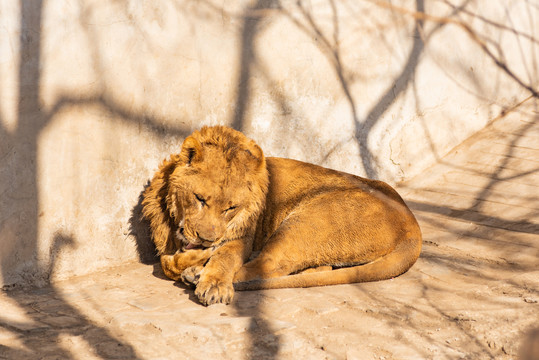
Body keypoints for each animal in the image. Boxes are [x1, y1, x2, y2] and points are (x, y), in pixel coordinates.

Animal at [142, 125, 422, 306]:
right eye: (199, 199)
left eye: (230, 209)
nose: (206, 239)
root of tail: (412, 224)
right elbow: (166, 263)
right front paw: (195, 258)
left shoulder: (242, 238)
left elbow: (222, 257)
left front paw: (212, 281)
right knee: (312, 267)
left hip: (304, 221)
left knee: (265, 266)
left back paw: (197, 274)